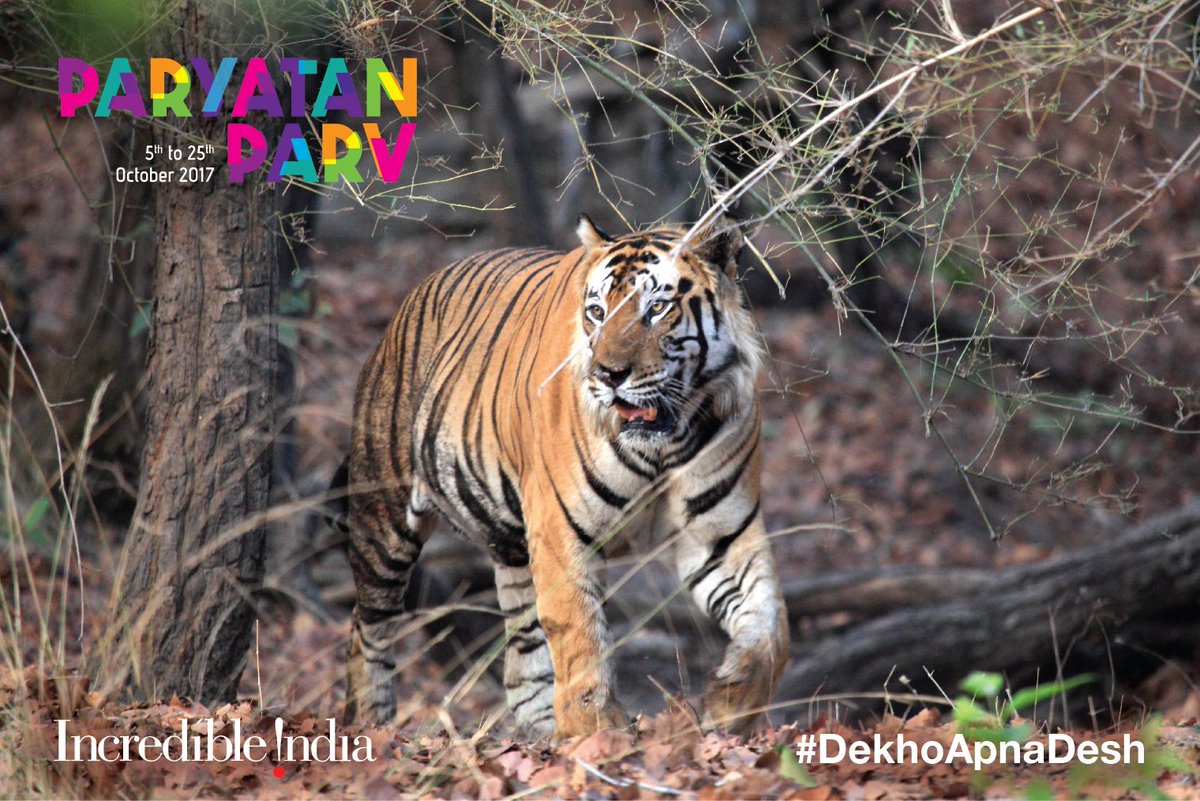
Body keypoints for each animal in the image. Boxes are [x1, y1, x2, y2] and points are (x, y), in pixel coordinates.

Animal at [337, 213, 789, 739]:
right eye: (596, 312)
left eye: (657, 308)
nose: (609, 374)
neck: (664, 444)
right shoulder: (560, 533)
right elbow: (580, 633)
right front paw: (599, 733)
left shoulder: (721, 534)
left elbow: (770, 624)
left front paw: (732, 703)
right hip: (383, 523)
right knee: (368, 630)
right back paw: (370, 726)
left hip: (512, 548)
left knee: (521, 660)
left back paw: (539, 734)